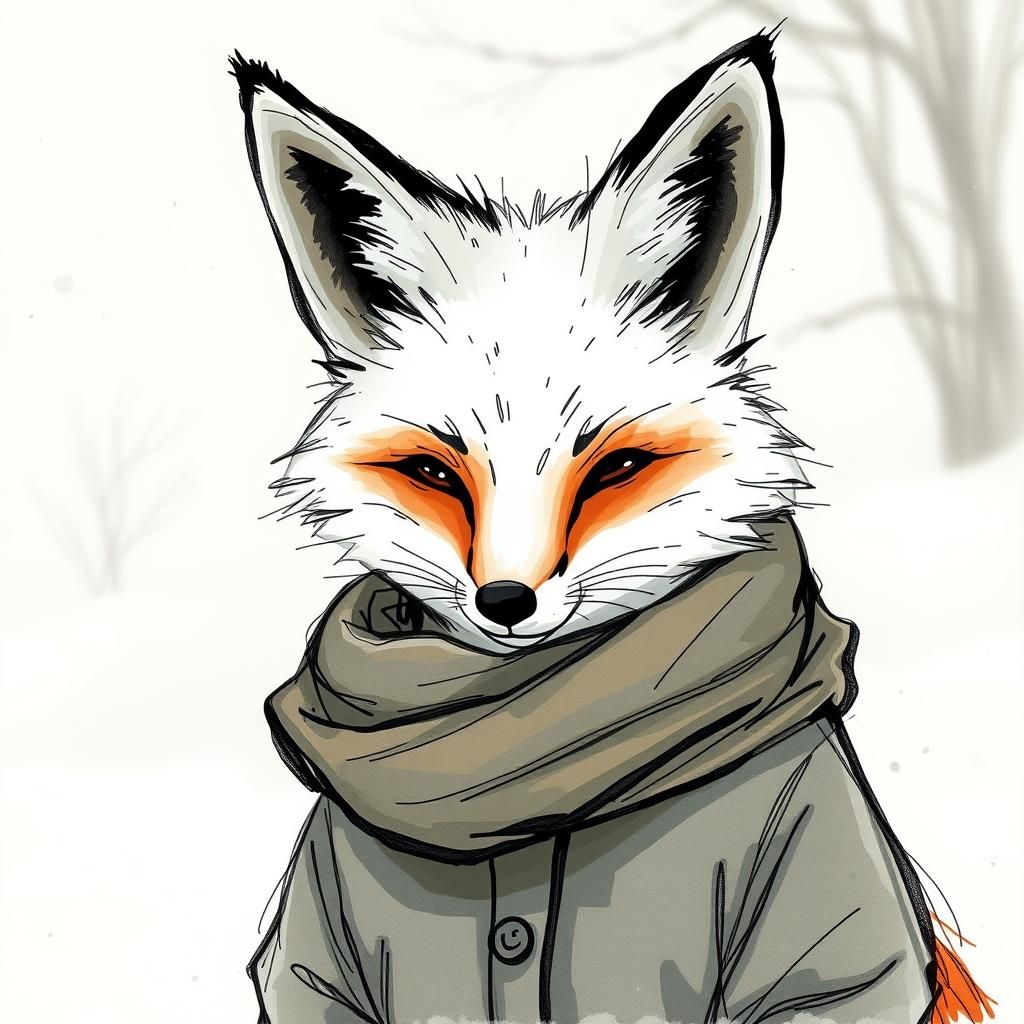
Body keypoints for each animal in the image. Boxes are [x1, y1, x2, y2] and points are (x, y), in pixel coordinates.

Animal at [233, 32, 993, 1024]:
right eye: (434, 472)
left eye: (615, 469)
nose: (505, 601)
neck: (526, 756)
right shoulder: (321, 930)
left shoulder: (820, 871)